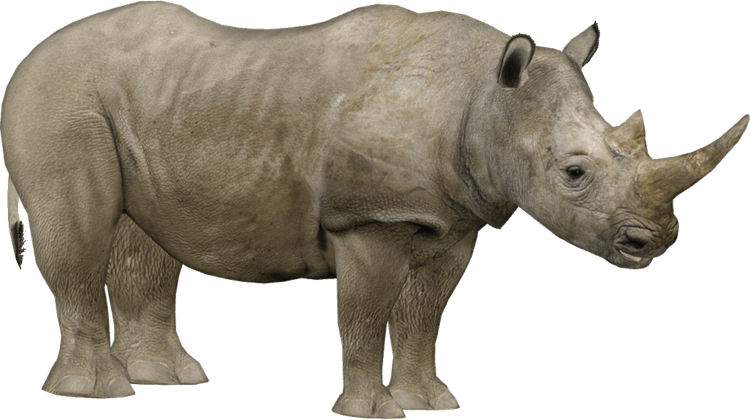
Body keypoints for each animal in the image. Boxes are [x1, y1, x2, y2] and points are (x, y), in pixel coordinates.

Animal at [1, 1, 747, 418]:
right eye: (574, 173)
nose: (656, 240)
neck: (480, 96)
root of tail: (31, 54)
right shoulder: (370, 218)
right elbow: (364, 316)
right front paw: (371, 412)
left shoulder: (452, 221)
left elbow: (424, 317)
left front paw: (432, 403)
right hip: (62, 98)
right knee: (79, 234)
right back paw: (100, 394)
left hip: (141, 102)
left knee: (143, 238)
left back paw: (170, 380)